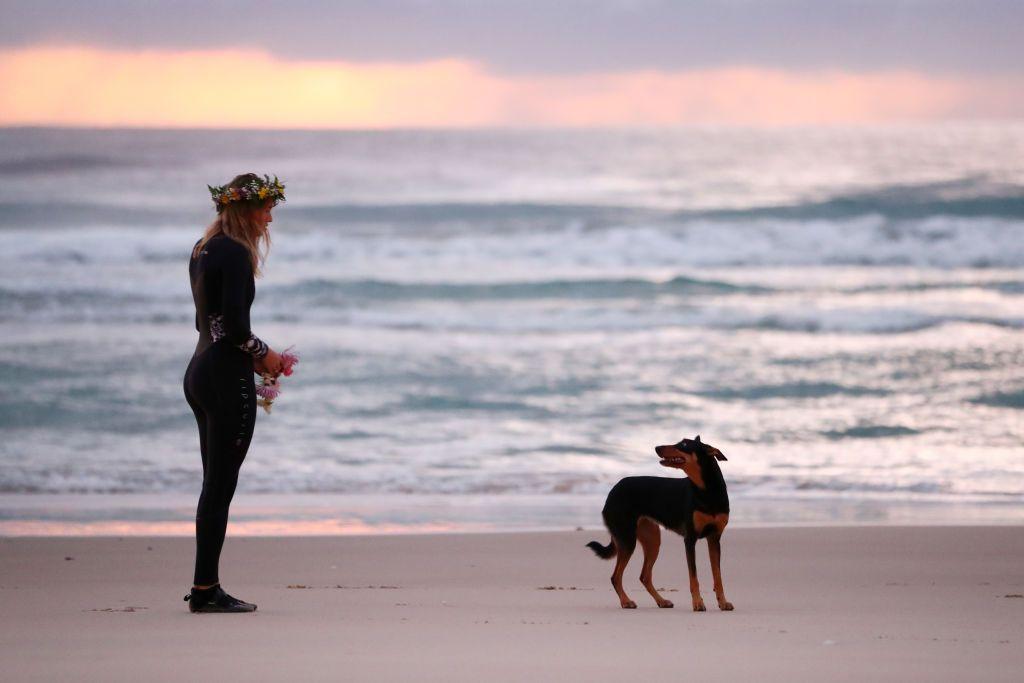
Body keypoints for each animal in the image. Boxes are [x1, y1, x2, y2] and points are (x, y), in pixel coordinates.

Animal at [589, 438, 733, 614]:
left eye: (684, 444)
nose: (657, 447)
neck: (706, 491)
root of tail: (613, 490)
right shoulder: (690, 540)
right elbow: (694, 577)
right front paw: (698, 603)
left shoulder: (714, 539)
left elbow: (718, 577)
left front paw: (723, 602)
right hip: (627, 539)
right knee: (616, 577)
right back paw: (626, 601)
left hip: (652, 540)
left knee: (644, 576)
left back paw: (661, 601)